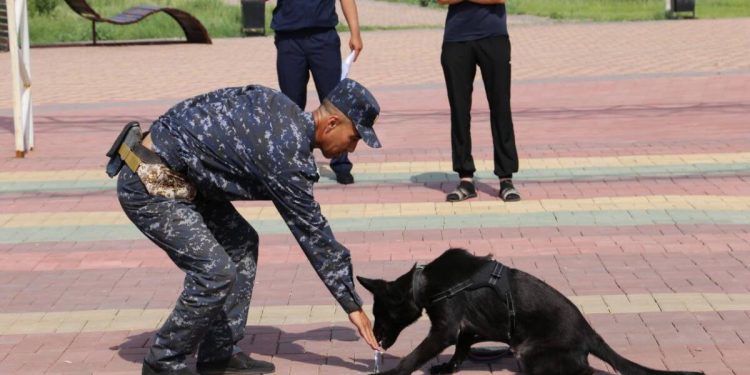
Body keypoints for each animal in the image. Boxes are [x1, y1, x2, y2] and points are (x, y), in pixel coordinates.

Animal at [358, 250, 704, 375]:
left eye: (380, 314)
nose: (376, 339)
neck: (426, 282)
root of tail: (589, 334)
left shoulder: (444, 329)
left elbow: (414, 356)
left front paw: (391, 372)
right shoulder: (469, 328)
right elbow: (461, 349)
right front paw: (448, 368)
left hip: (532, 355)